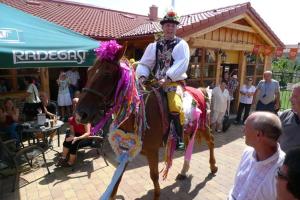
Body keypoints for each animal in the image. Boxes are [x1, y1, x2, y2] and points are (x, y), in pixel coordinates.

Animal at [74, 45, 216, 200]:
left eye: (107, 74)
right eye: (89, 71)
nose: (80, 114)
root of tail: (200, 90)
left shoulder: (152, 151)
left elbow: (154, 176)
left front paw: (157, 194)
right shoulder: (128, 149)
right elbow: (117, 178)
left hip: (203, 126)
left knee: (211, 142)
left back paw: (213, 167)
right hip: (187, 130)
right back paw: (184, 171)